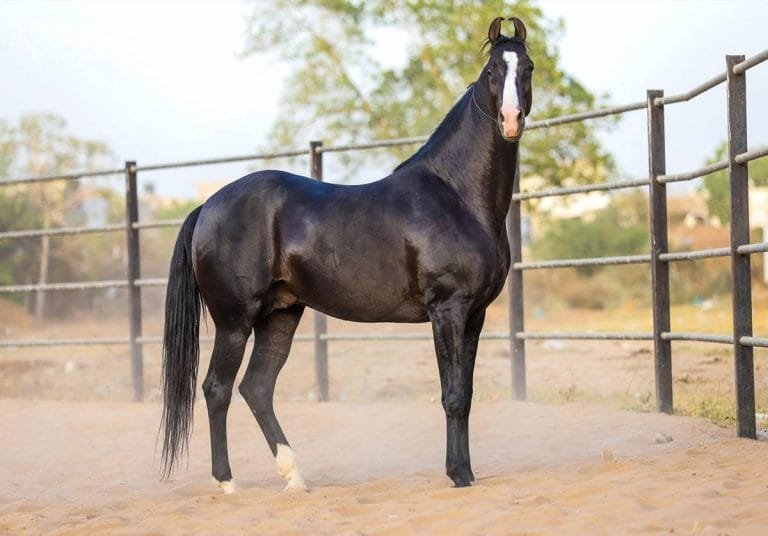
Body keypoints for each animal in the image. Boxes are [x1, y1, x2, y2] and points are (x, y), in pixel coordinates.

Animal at [160, 16, 534, 492]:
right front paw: (459, 475)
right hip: (235, 321)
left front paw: (464, 472)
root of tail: (208, 205)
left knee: (257, 388)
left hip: (280, 316)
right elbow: (452, 395)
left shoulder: (476, 314)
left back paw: (295, 478)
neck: (456, 195)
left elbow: (464, 393)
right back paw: (227, 483)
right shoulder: (447, 310)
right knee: (217, 389)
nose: (511, 120)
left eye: (528, 68)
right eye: (491, 72)